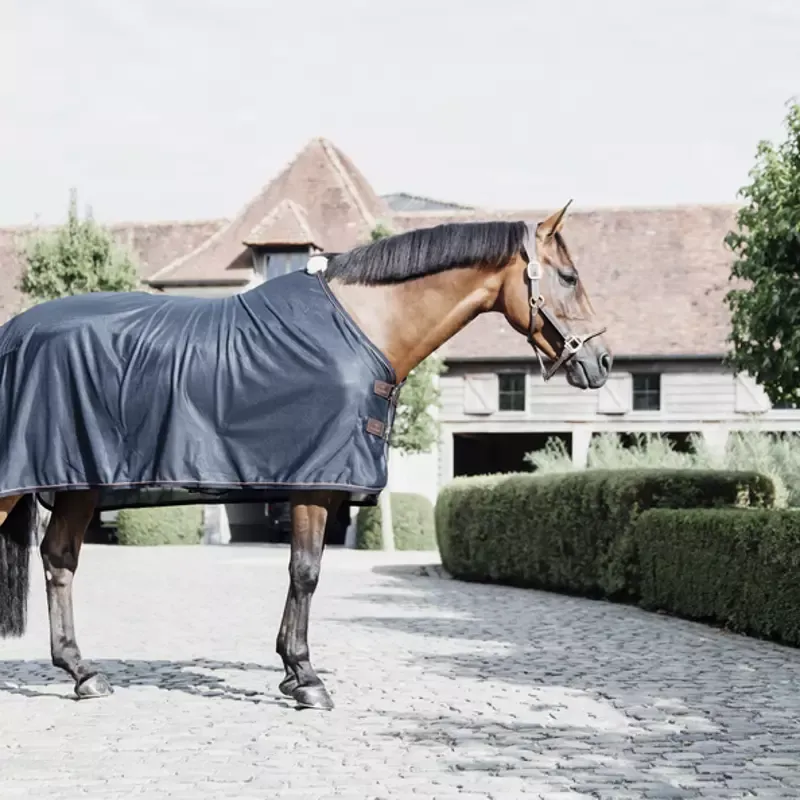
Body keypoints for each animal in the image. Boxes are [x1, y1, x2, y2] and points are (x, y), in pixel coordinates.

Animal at [0, 203, 611, 710]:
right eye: (569, 277)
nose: (601, 360)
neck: (363, 328)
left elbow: (302, 571)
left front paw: (293, 673)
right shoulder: (315, 485)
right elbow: (306, 572)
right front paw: (305, 677)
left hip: (78, 485)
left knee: (58, 560)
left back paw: (83, 673)